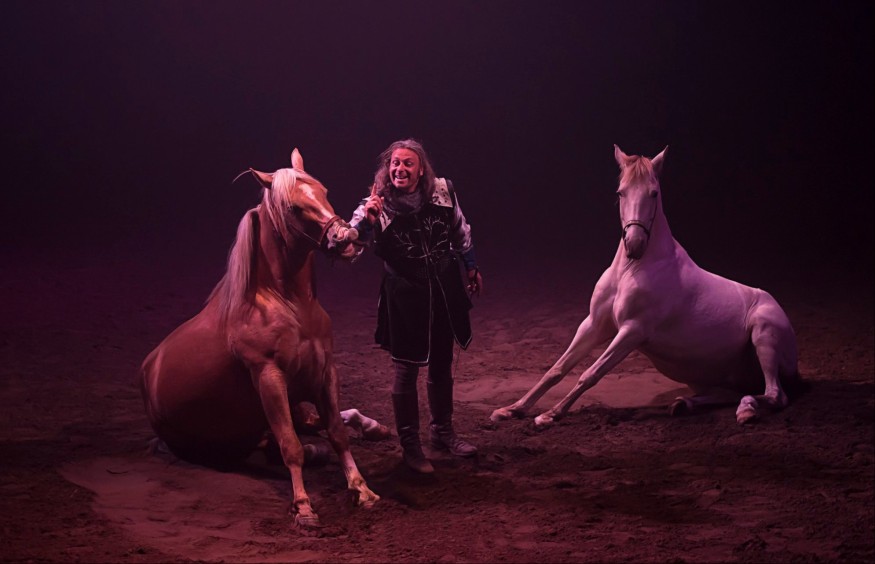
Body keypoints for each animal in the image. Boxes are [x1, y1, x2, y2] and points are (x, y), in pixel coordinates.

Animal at [140, 149, 381, 529]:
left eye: (323, 191)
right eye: (293, 207)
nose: (348, 238)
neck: (290, 305)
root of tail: (148, 369)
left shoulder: (325, 372)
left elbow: (337, 433)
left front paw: (362, 490)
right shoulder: (269, 378)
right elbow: (290, 444)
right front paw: (303, 507)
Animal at [491, 145, 801, 428]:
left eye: (653, 193)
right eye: (620, 192)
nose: (635, 245)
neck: (631, 270)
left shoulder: (632, 331)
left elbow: (590, 374)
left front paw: (551, 414)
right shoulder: (594, 325)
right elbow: (556, 369)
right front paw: (511, 410)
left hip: (764, 336)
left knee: (773, 395)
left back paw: (745, 409)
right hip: (709, 377)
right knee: (730, 393)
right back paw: (683, 404)